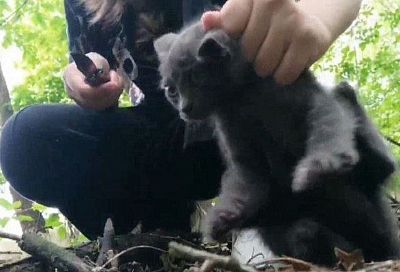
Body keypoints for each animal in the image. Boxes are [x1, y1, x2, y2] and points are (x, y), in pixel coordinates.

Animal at [155, 22, 398, 264]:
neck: (244, 96)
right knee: (305, 232)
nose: (184, 108)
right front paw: (225, 216)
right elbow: (246, 179)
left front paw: (319, 166)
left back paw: (348, 97)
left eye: (196, 79)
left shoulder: (312, 98)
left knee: (383, 164)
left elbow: (327, 123)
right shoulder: (238, 142)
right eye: (172, 90)